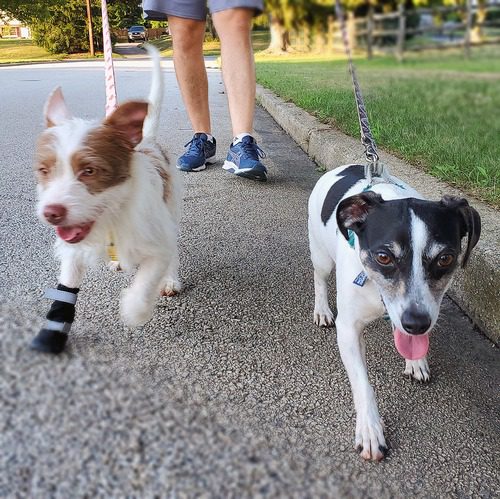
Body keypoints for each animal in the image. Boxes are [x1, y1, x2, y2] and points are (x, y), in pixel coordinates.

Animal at [31, 45, 181, 354]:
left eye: (89, 171)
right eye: (44, 171)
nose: (51, 213)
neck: (112, 215)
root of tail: (146, 140)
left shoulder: (157, 242)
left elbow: (148, 278)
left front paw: (134, 309)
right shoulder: (73, 248)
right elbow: (66, 286)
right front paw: (53, 330)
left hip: (170, 209)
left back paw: (171, 280)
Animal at [308, 166, 480, 462]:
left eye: (445, 258)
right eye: (384, 257)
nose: (417, 324)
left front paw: (416, 361)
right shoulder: (348, 329)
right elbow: (363, 385)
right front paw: (370, 430)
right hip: (321, 256)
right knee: (320, 279)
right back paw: (322, 310)